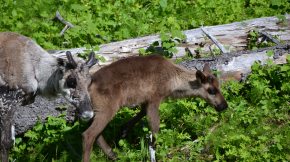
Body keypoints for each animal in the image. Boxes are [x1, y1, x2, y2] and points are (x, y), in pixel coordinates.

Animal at [82, 55, 228, 161]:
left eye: (219, 86)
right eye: (211, 90)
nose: (224, 106)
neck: (173, 80)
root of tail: (89, 85)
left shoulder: (146, 101)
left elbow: (141, 114)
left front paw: (124, 130)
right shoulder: (155, 99)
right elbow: (155, 128)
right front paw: (154, 152)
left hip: (94, 112)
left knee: (94, 134)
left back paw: (113, 154)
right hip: (106, 110)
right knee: (88, 134)